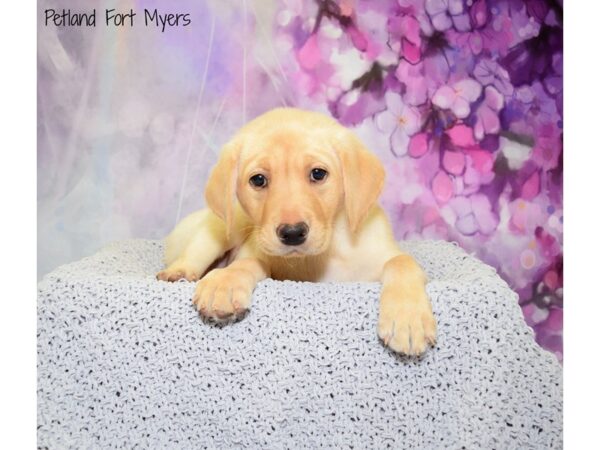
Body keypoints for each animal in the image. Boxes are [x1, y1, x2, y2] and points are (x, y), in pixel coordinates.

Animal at [158, 108, 436, 356]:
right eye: (258, 180)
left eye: (318, 173)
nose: (292, 233)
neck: (323, 256)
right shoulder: (258, 254)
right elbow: (247, 262)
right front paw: (224, 283)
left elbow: (402, 262)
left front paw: (408, 319)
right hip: (224, 226)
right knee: (195, 252)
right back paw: (178, 272)